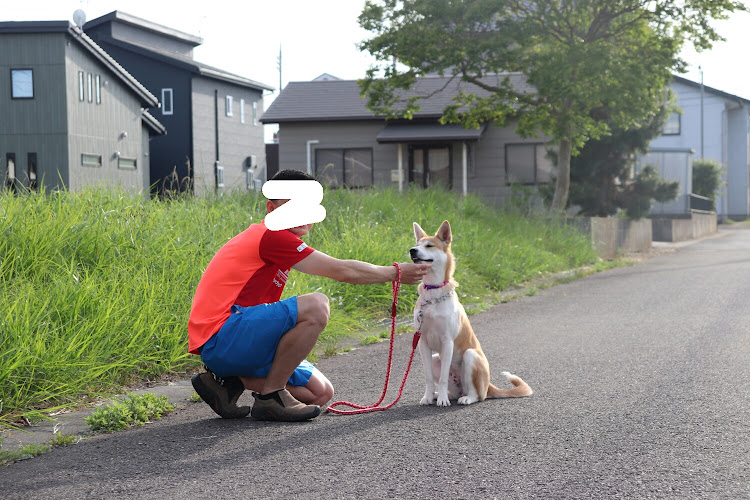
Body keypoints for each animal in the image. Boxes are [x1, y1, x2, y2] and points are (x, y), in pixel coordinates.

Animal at [412, 222, 536, 406]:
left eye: (429, 246)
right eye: (416, 244)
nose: (412, 250)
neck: (434, 294)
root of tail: (489, 384)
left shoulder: (447, 342)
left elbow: (442, 378)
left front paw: (442, 400)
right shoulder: (423, 343)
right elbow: (428, 377)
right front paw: (428, 396)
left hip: (470, 356)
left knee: (477, 395)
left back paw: (463, 397)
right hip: (436, 359)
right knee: (453, 391)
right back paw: (438, 394)